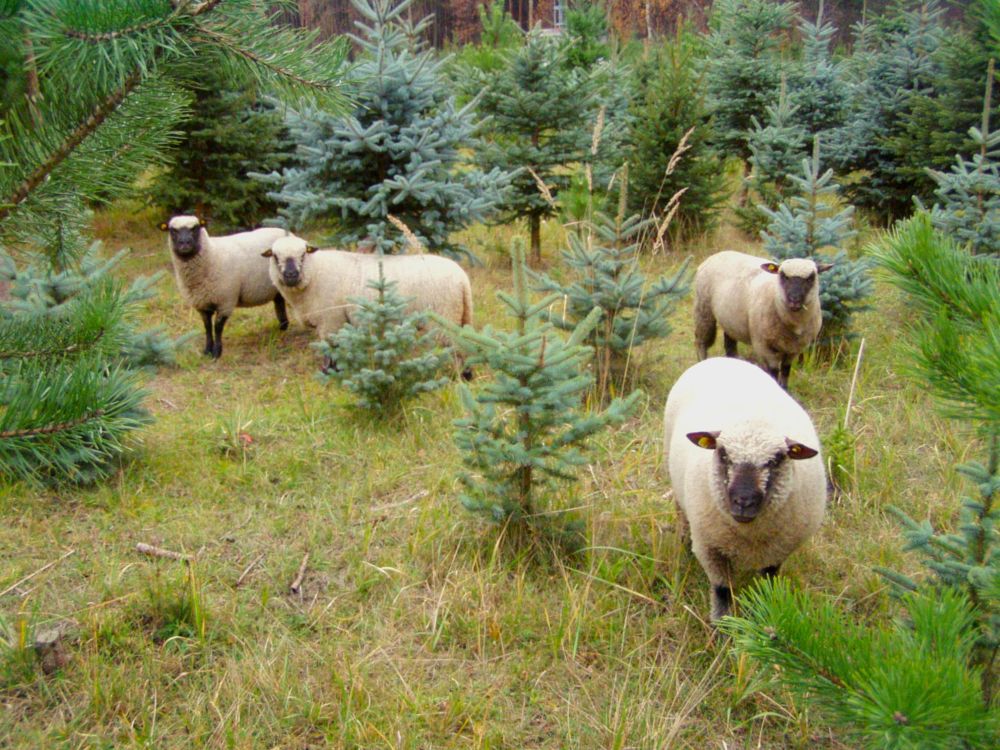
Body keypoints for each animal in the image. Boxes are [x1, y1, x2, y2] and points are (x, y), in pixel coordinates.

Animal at [162, 216, 290, 359]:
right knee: (279, 302)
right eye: (173, 230)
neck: (212, 255)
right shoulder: (201, 303)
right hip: (276, 288)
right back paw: (282, 327)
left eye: (195, 228)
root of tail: (286, 232)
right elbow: (207, 327)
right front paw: (207, 350)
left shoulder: (226, 301)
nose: (185, 243)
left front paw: (217, 352)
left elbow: (217, 327)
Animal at [261, 236, 473, 373]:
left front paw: (330, 371)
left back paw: (457, 375)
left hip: (443, 318)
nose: (290, 275)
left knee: (455, 348)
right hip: (458, 316)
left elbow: (331, 349)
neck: (315, 274)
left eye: (303, 254)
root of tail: (462, 279)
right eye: (275, 256)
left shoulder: (330, 321)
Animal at [663, 357, 826, 622]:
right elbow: (722, 592)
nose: (743, 501)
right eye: (723, 454)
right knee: (682, 521)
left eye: (776, 459)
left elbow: (768, 585)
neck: (751, 535)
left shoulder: (777, 552)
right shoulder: (711, 549)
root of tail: (722, 358)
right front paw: (723, 628)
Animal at [693, 250, 831, 389]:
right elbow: (773, 373)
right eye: (783, 276)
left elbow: (785, 372)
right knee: (701, 343)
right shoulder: (764, 347)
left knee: (730, 346)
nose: (794, 300)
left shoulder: (794, 349)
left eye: (810, 278)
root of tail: (718, 254)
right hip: (703, 310)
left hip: (730, 319)